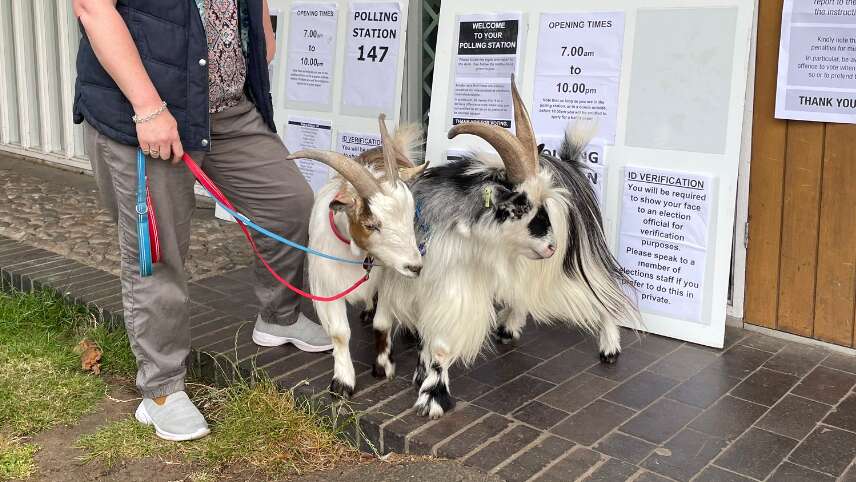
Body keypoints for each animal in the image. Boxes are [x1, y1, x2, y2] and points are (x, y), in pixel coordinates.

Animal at [286, 115, 426, 398]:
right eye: (371, 224)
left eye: (411, 216)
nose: (415, 266)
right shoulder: (327, 286)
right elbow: (340, 333)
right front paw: (343, 382)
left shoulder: (389, 280)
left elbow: (383, 324)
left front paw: (383, 366)